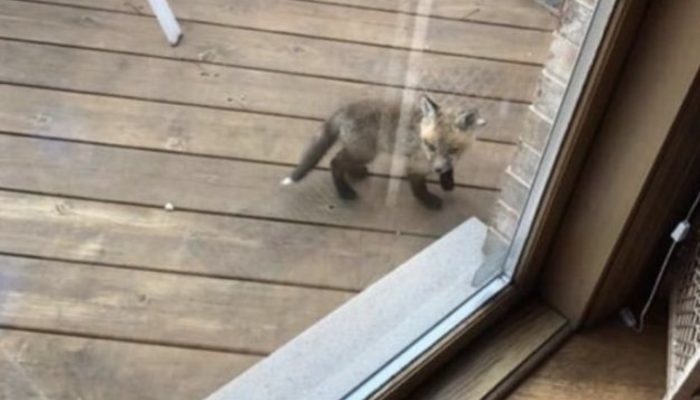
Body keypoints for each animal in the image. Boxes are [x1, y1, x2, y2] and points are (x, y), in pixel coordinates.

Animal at [282, 95, 486, 210]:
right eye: (430, 146)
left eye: (453, 149)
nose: (436, 169)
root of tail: (344, 110)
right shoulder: (416, 164)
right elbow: (418, 186)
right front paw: (428, 200)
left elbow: (450, 168)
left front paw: (447, 181)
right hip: (366, 152)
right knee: (335, 161)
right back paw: (344, 191)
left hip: (361, 151)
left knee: (342, 159)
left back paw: (356, 173)